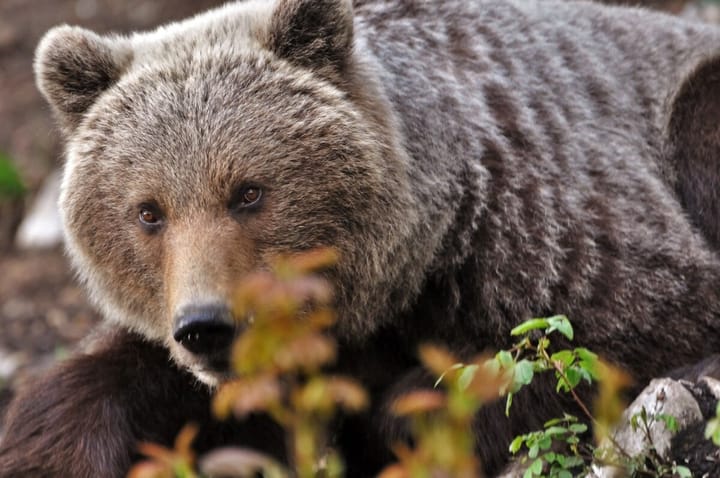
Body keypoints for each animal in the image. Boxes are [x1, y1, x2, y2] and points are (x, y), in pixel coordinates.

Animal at [5, 0, 720, 476]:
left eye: (248, 191)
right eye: (149, 211)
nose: (206, 325)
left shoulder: (534, 230)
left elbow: (623, 328)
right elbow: (100, 388)